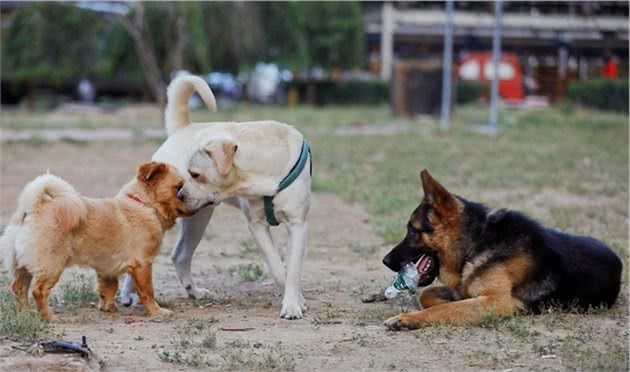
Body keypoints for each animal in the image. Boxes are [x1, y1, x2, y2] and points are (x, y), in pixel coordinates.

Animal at [1, 162, 195, 320]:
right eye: (179, 188)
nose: (192, 198)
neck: (142, 204)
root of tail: (32, 207)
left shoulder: (107, 268)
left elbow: (108, 287)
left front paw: (108, 307)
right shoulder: (143, 265)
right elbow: (147, 292)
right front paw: (156, 312)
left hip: (23, 266)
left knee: (19, 288)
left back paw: (25, 314)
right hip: (51, 265)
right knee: (38, 291)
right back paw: (48, 317)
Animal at [121, 76, 312, 320]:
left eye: (194, 174)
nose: (180, 194)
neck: (266, 171)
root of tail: (183, 128)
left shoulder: (298, 224)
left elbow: (293, 269)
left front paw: (293, 304)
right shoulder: (256, 225)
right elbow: (278, 267)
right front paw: (294, 301)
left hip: (198, 219)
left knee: (180, 255)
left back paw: (194, 292)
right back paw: (129, 295)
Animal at [382, 170, 624, 330]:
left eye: (412, 230)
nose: (385, 261)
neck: (476, 242)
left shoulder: (497, 301)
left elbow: (442, 310)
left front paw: (408, 318)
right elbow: (428, 295)